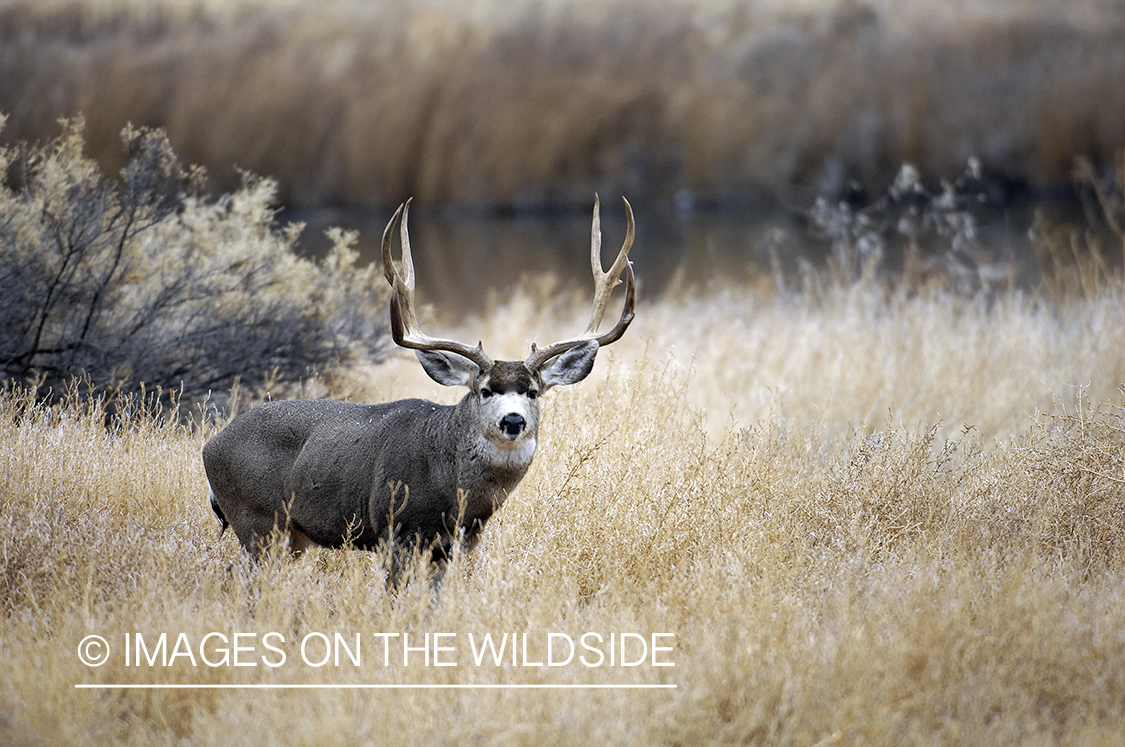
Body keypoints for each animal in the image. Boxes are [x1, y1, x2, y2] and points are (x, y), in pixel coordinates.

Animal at [203, 196, 635, 572]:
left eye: (532, 391)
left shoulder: (455, 543)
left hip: (289, 537)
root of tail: (210, 446)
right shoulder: (397, 528)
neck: (453, 484)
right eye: (484, 390)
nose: (513, 421)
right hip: (258, 521)